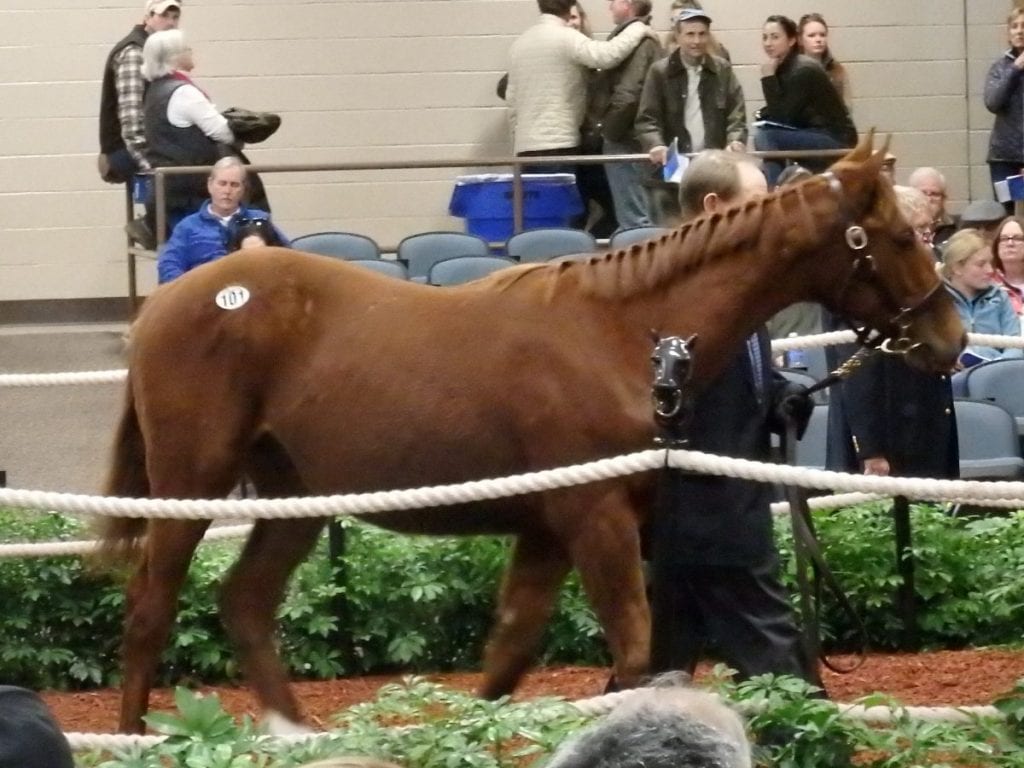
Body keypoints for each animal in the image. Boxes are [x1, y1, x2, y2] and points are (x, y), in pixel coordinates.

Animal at [97, 138, 966, 733]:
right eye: (895, 235)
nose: (950, 338)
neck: (620, 331)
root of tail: (166, 304)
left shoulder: (555, 527)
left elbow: (511, 652)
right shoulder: (595, 518)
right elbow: (632, 649)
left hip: (295, 496)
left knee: (244, 602)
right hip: (191, 482)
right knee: (149, 608)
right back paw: (140, 735)